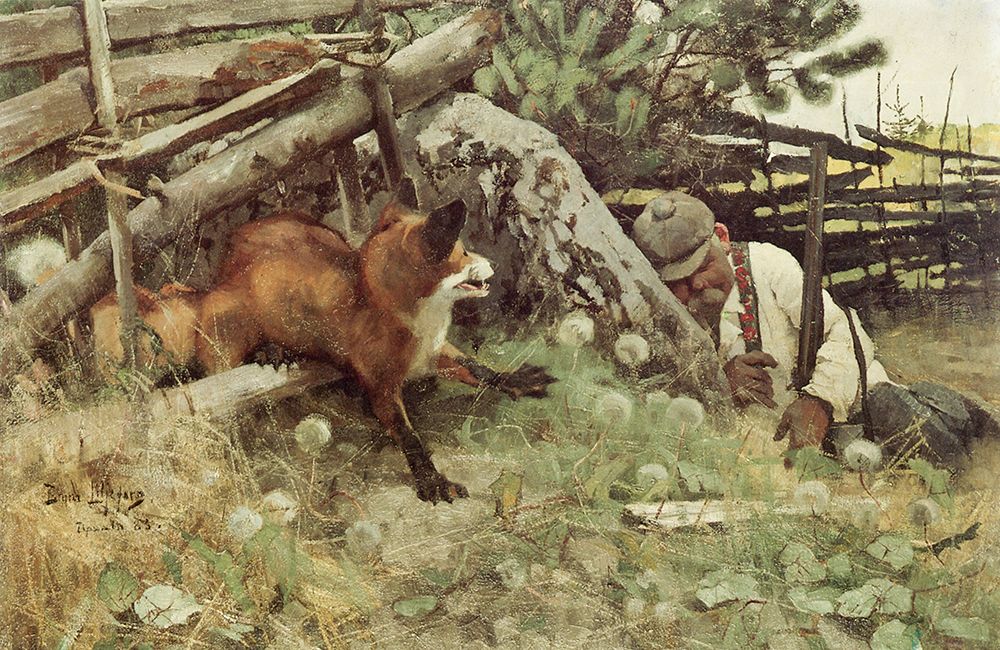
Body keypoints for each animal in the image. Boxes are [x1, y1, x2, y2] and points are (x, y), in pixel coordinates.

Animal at [91, 186, 555, 502]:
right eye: (462, 253)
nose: (494, 264)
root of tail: (219, 276)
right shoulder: (381, 385)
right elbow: (410, 437)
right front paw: (431, 480)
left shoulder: (434, 353)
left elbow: (483, 370)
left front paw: (520, 379)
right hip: (231, 329)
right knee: (219, 379)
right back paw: (271, 353)